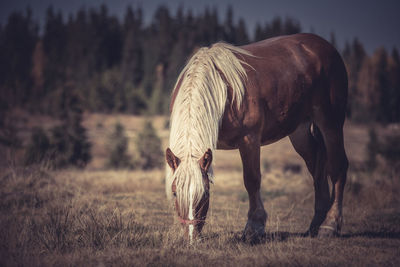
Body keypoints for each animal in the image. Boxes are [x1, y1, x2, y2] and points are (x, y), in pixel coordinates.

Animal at [164, 32, 348, 244]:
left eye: (206, 193)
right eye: (175, 192)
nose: (192, 238)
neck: (223, 91)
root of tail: (326, 47)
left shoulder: (249, 140)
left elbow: (252, 180)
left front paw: (254, 227)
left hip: (330, 123)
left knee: (337, 167)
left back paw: (330, 225)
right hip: (300, 132)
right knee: (317, 167)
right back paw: (315, 226)